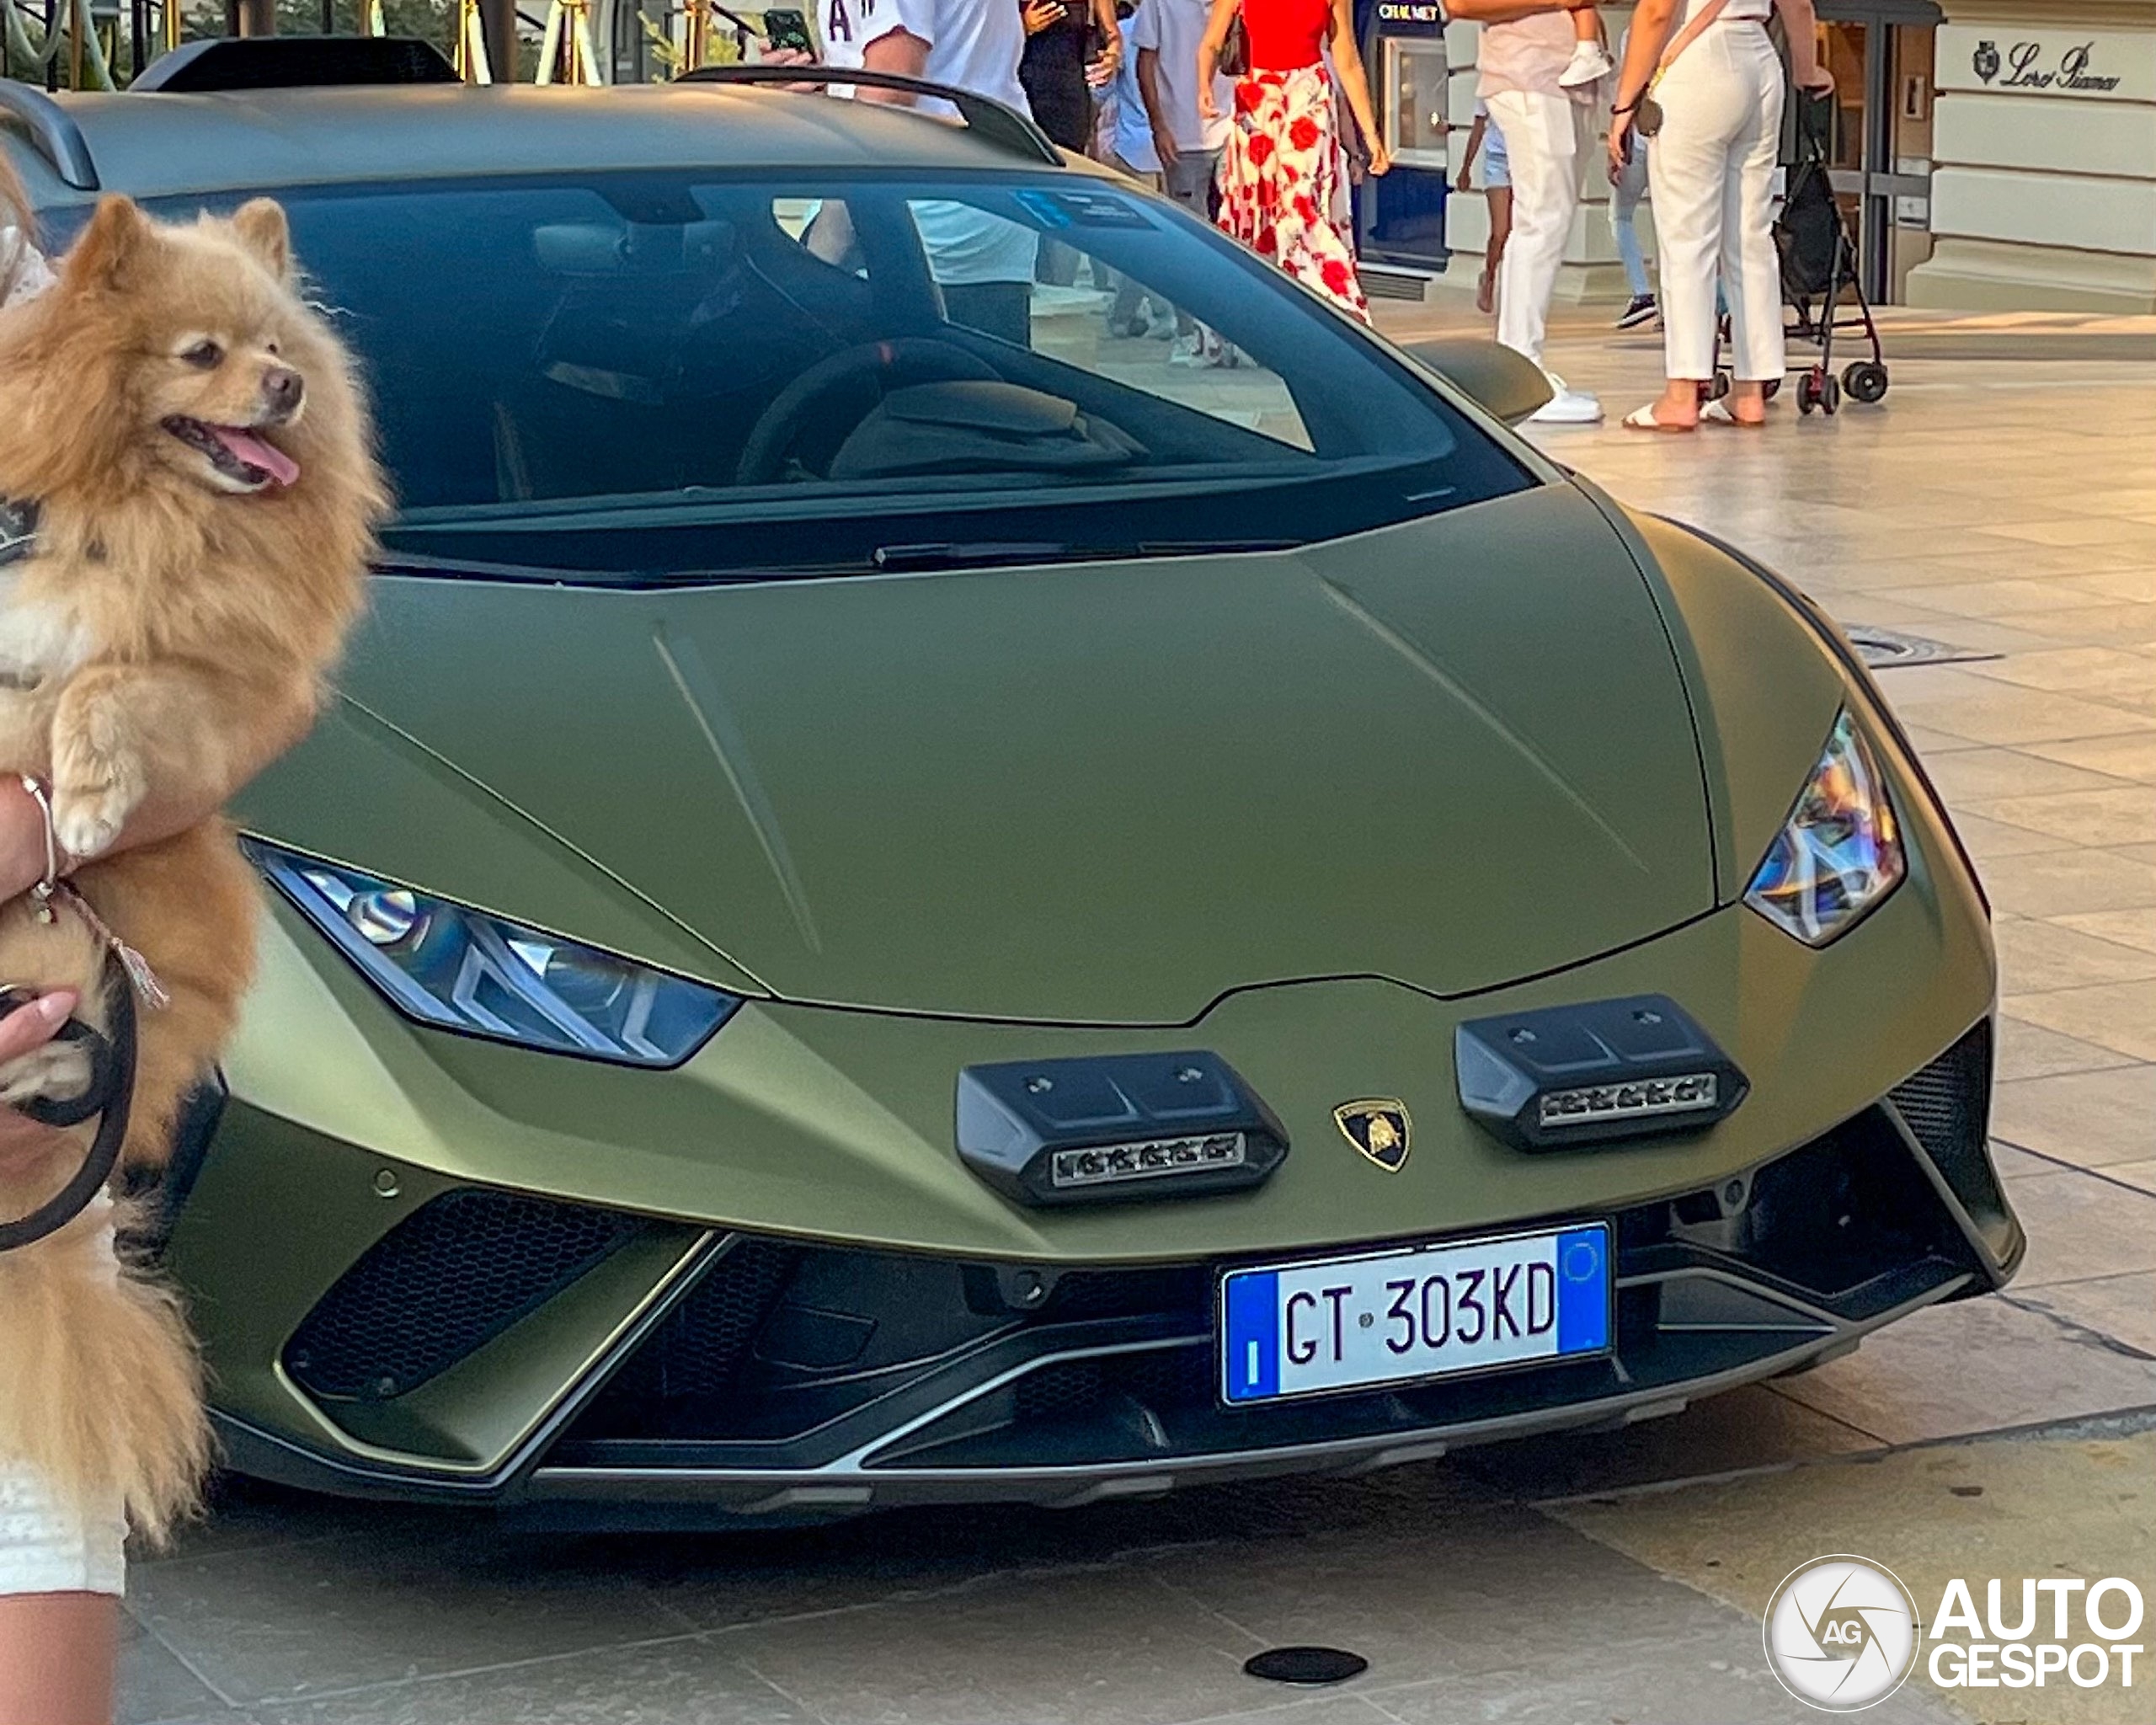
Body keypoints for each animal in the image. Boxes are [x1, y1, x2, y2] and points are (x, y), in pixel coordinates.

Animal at [0, 174, 383, 1543]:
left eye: (277, 348)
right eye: (203, 355)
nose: (289, 388)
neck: (121, 507)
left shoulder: (206, 672)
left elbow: (106, 683)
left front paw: (88, 793)